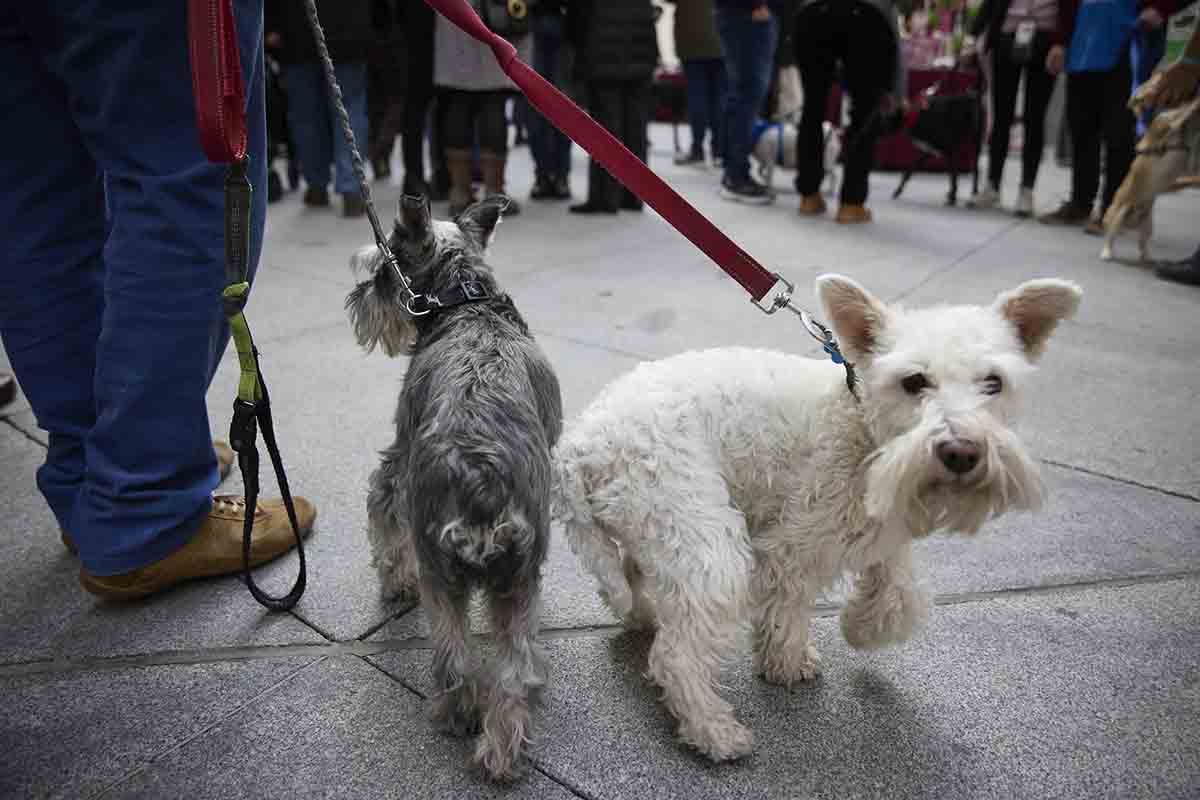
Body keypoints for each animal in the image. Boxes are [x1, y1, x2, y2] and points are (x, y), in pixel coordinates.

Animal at [350, 195, 564, 782]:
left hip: (441, 576)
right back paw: (499, 754)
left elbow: (381, 506)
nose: (358, 300)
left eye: (383, 272)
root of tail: (479, 481)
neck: (468, 301)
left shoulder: (398, 456)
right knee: (513, 673)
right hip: (516, 584)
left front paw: (392, 579)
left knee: (455, 659)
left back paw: (460, 718)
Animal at [556, 275, 1084, 762]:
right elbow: (788, 608)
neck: (862, 424)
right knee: (675, 656)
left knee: (634, 581)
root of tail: (578, 446)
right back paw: (715, 733)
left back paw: (643, 617)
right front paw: (787, 663)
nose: (961, 451)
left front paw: (863, 629)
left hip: (659, 529)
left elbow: (899, 593)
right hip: (706, 543)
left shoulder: (879, 531)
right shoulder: (793, 544)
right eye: (914, 381)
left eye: (994, 383)